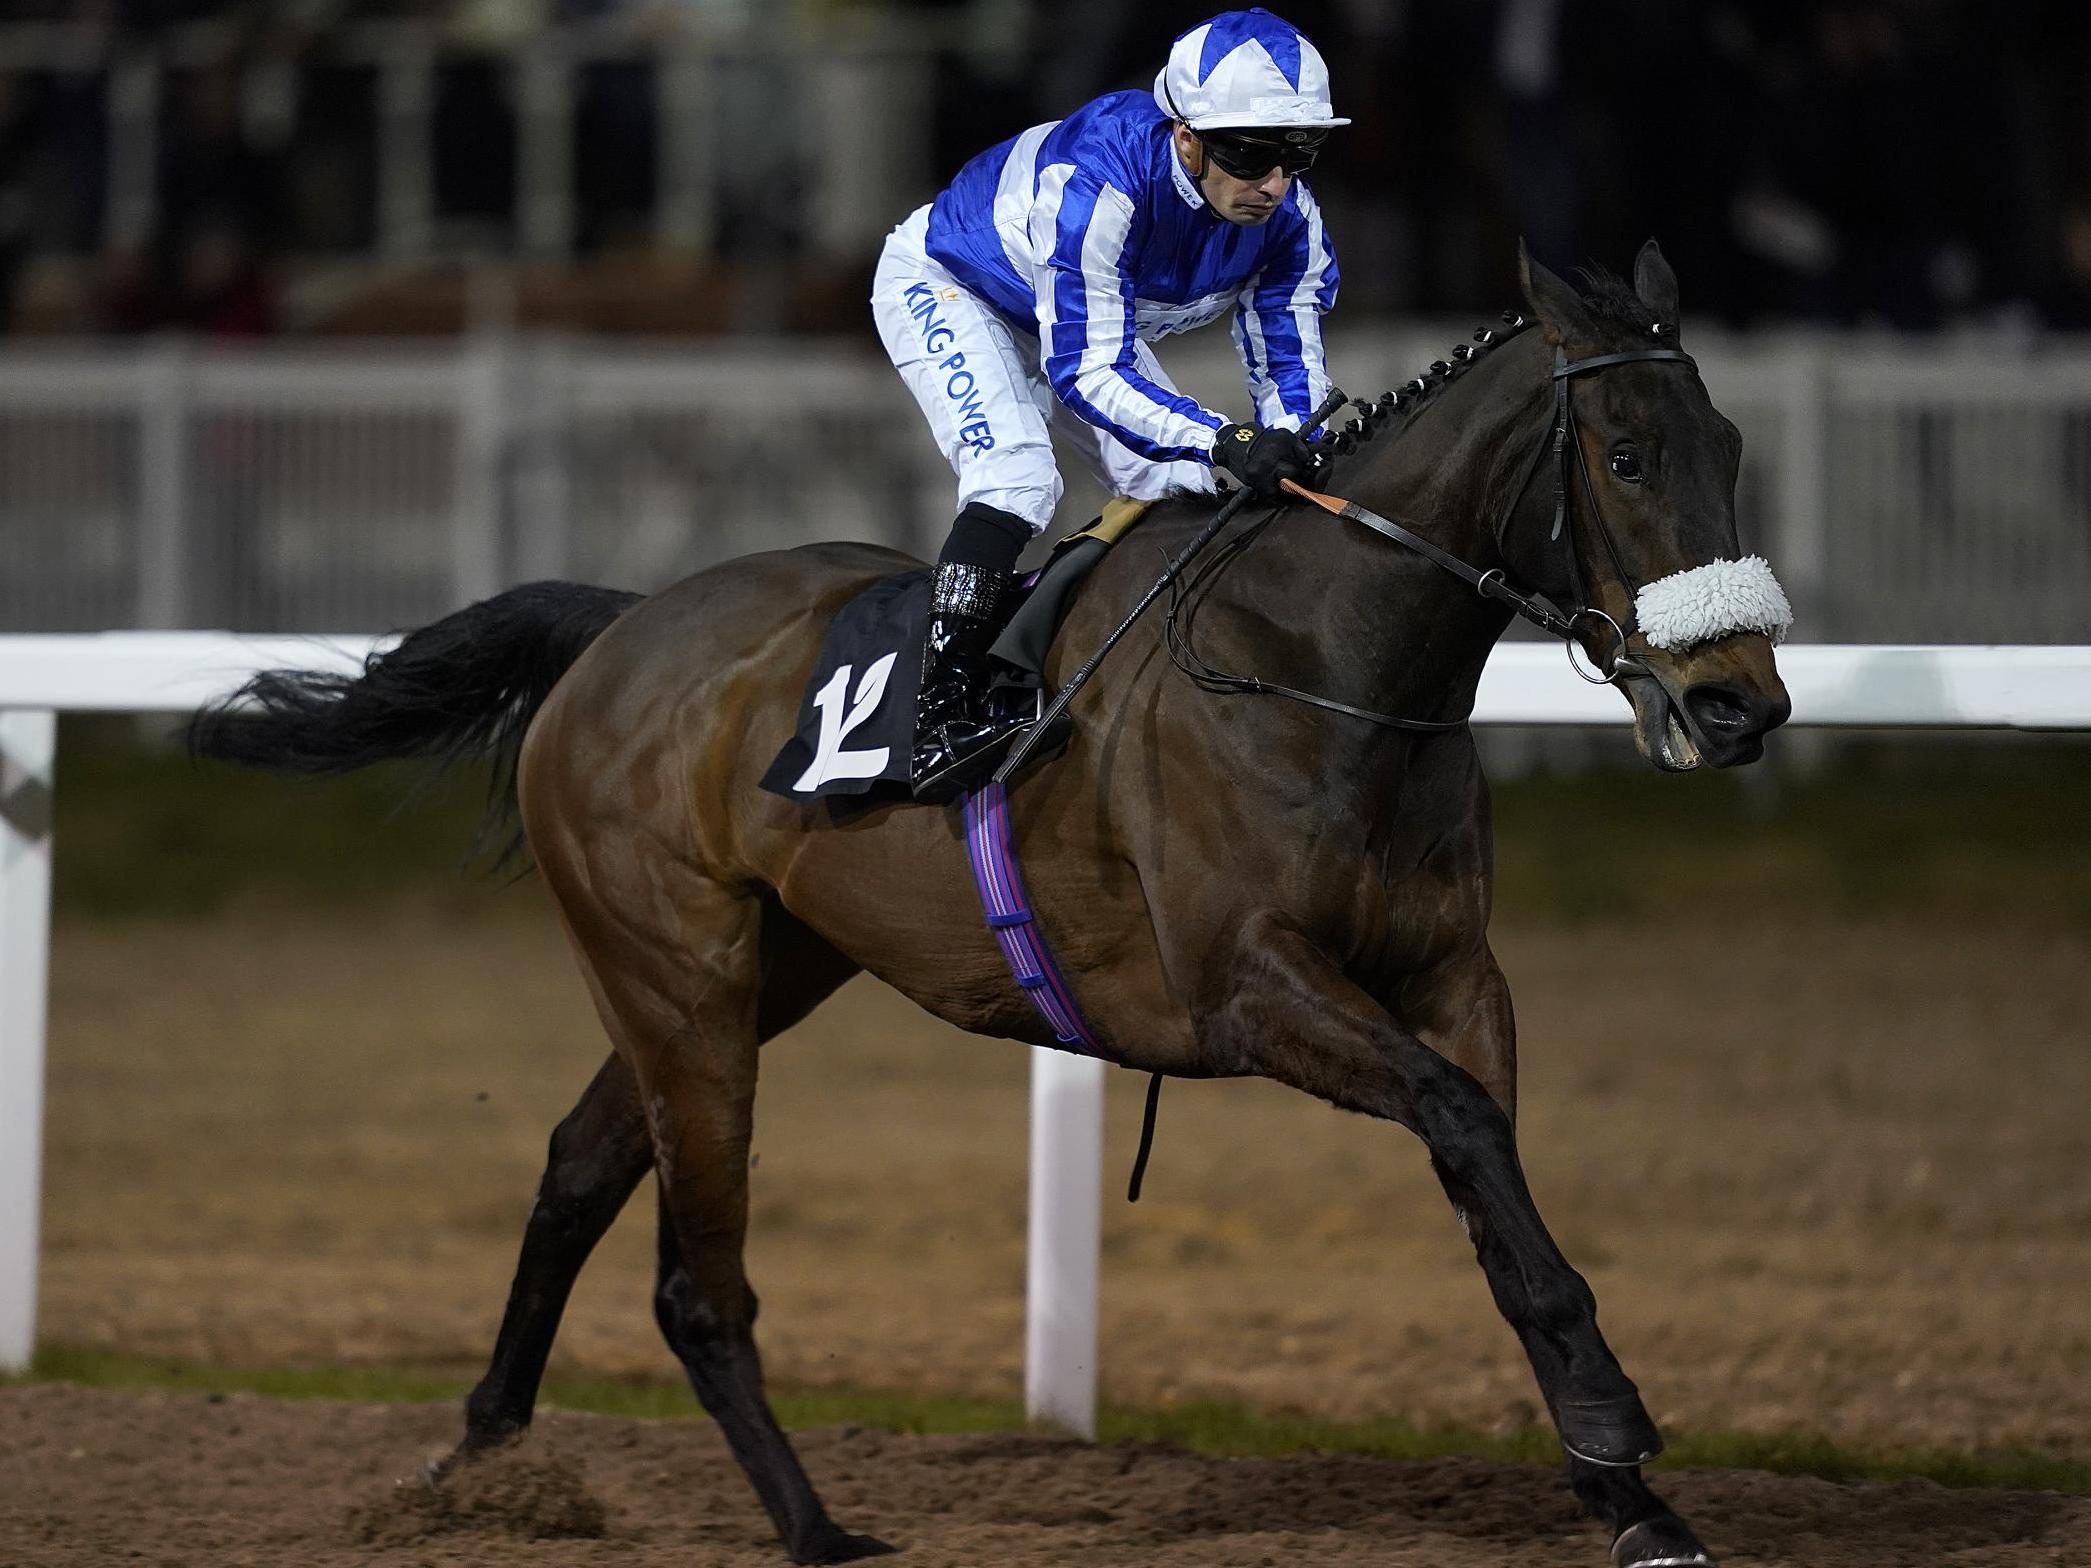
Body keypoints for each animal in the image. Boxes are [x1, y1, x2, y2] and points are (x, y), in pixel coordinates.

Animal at [203, 245, 1789, 1568]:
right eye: (1627, 454)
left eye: (1729, 450)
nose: (1739, 706)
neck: (1322, 664)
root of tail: (619, 628)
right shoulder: (1246, 987)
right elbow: (1462, 1128)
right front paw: (1616, 1424)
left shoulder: (1454, 972)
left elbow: (1496, 1192)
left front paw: (1629, 1494)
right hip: (678, 972)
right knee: (695, 1276)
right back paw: (813, 1530)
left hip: (765, 968)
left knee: (579, 1170)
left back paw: (479, 1459)